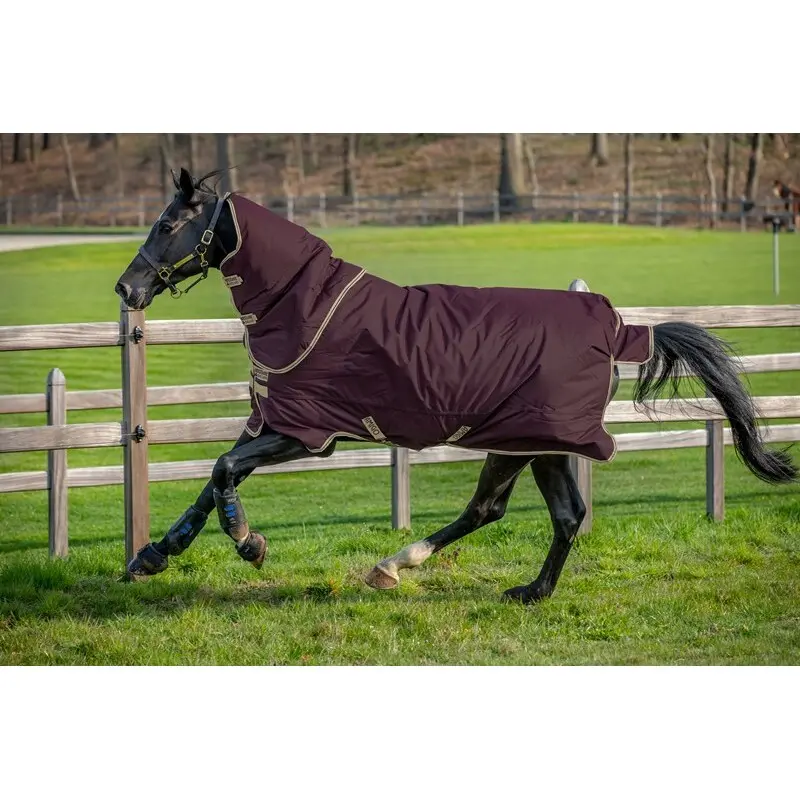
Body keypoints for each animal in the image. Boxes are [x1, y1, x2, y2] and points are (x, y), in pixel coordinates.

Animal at [114, 168, 797, 604]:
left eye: (169, 222)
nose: (127, 288)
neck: (305, 306)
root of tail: (622, 329)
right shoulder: (273, 422)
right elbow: (212, 478)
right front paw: (153, 556)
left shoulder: (306, 431)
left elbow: (224, 470)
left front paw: (248, 544)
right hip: (529, 443)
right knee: (519, 512)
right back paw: (466, 579)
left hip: (532, 439)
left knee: (531, 512)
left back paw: (437, 574)